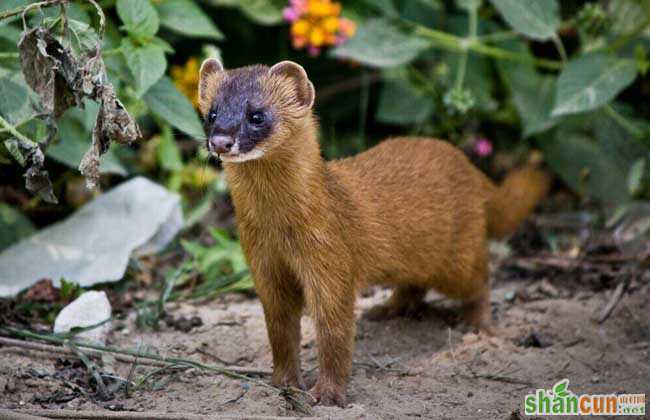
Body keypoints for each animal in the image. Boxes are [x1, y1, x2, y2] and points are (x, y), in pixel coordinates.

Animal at [196, 59, 548, 406]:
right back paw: (388, 309)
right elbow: (279, 329)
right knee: (415, 285)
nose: (221, 141)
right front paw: (284, 382)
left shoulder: (330, 257)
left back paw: (478, 325)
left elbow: (334, 331)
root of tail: (469, 167)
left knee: (479, 280)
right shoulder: (263, 265)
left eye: (257, 115)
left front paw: (328, 394)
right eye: (211, 113)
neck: (278, 228)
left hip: (458, 257)